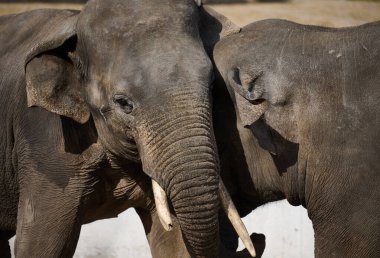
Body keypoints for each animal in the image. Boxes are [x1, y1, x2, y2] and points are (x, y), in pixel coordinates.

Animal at [0, 1, 258, 256]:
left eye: (213, 85)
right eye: (123, 103)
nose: (257, 236)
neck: (74, 25)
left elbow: (173, 244)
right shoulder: (46, 144)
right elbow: (40, 244)